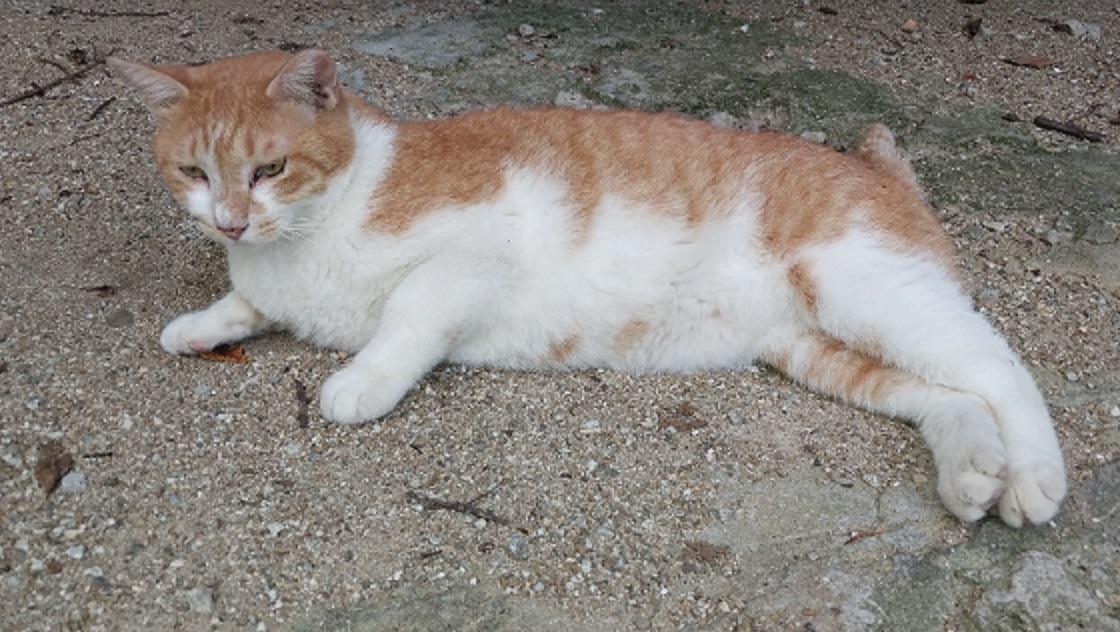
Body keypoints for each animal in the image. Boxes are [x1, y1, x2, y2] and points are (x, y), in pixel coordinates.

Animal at [109, 48, 1066, 528]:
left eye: (269, 170)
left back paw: (1032, 478)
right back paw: (973, 469)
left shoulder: (477, 248)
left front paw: (360, 381)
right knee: (949, 393)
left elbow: (407, 316)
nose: (230, 222)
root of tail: (876, 166)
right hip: (819, 347)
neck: (316, 224)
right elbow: (248, 304)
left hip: (860, 286)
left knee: (1002, 369)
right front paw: (202, 322)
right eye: (194, 173)